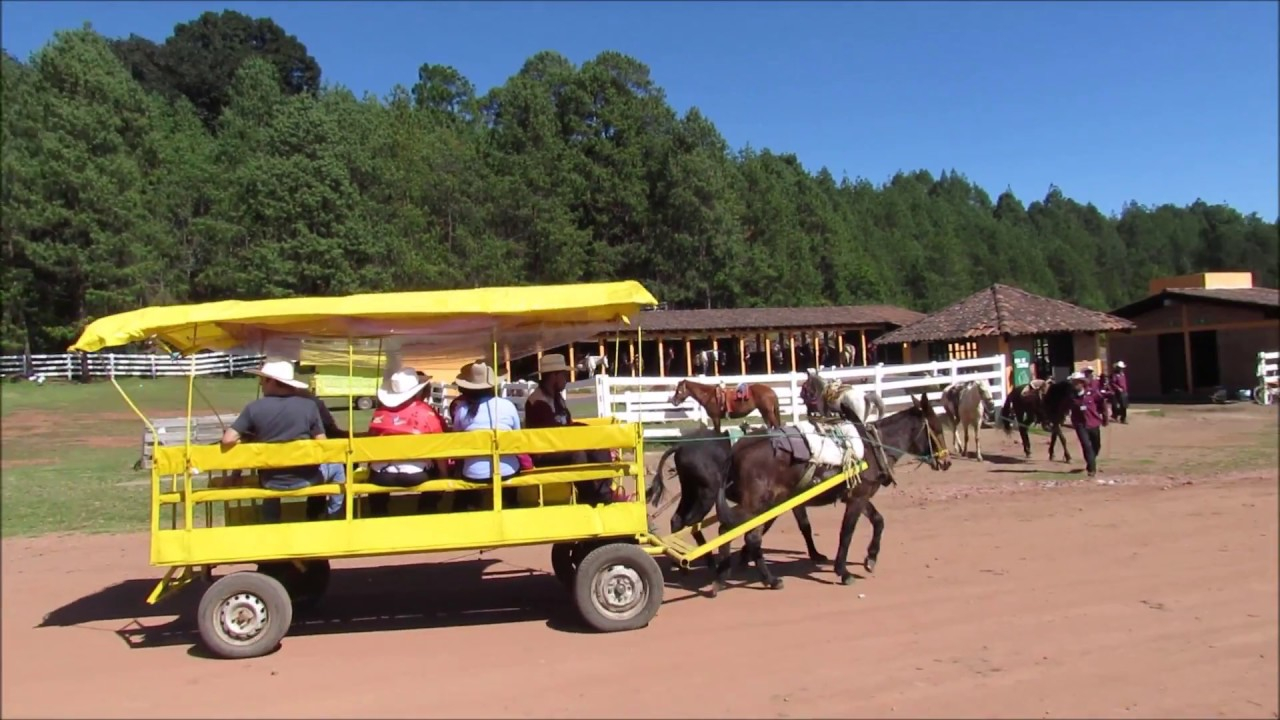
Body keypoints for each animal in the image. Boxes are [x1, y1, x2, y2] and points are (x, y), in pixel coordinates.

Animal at [711, 389, 952, 591]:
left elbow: (878, 521)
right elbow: (846, 533)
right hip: (760, 505)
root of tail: (737, 450)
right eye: (937, 429)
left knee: (733, 531)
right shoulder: (856, 499)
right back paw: (759, 578)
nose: (947, 461)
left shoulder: (859, 495)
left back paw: (729, 576)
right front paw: (843, 571)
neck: (872, 447)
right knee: (744, 535)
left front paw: (871, 558)